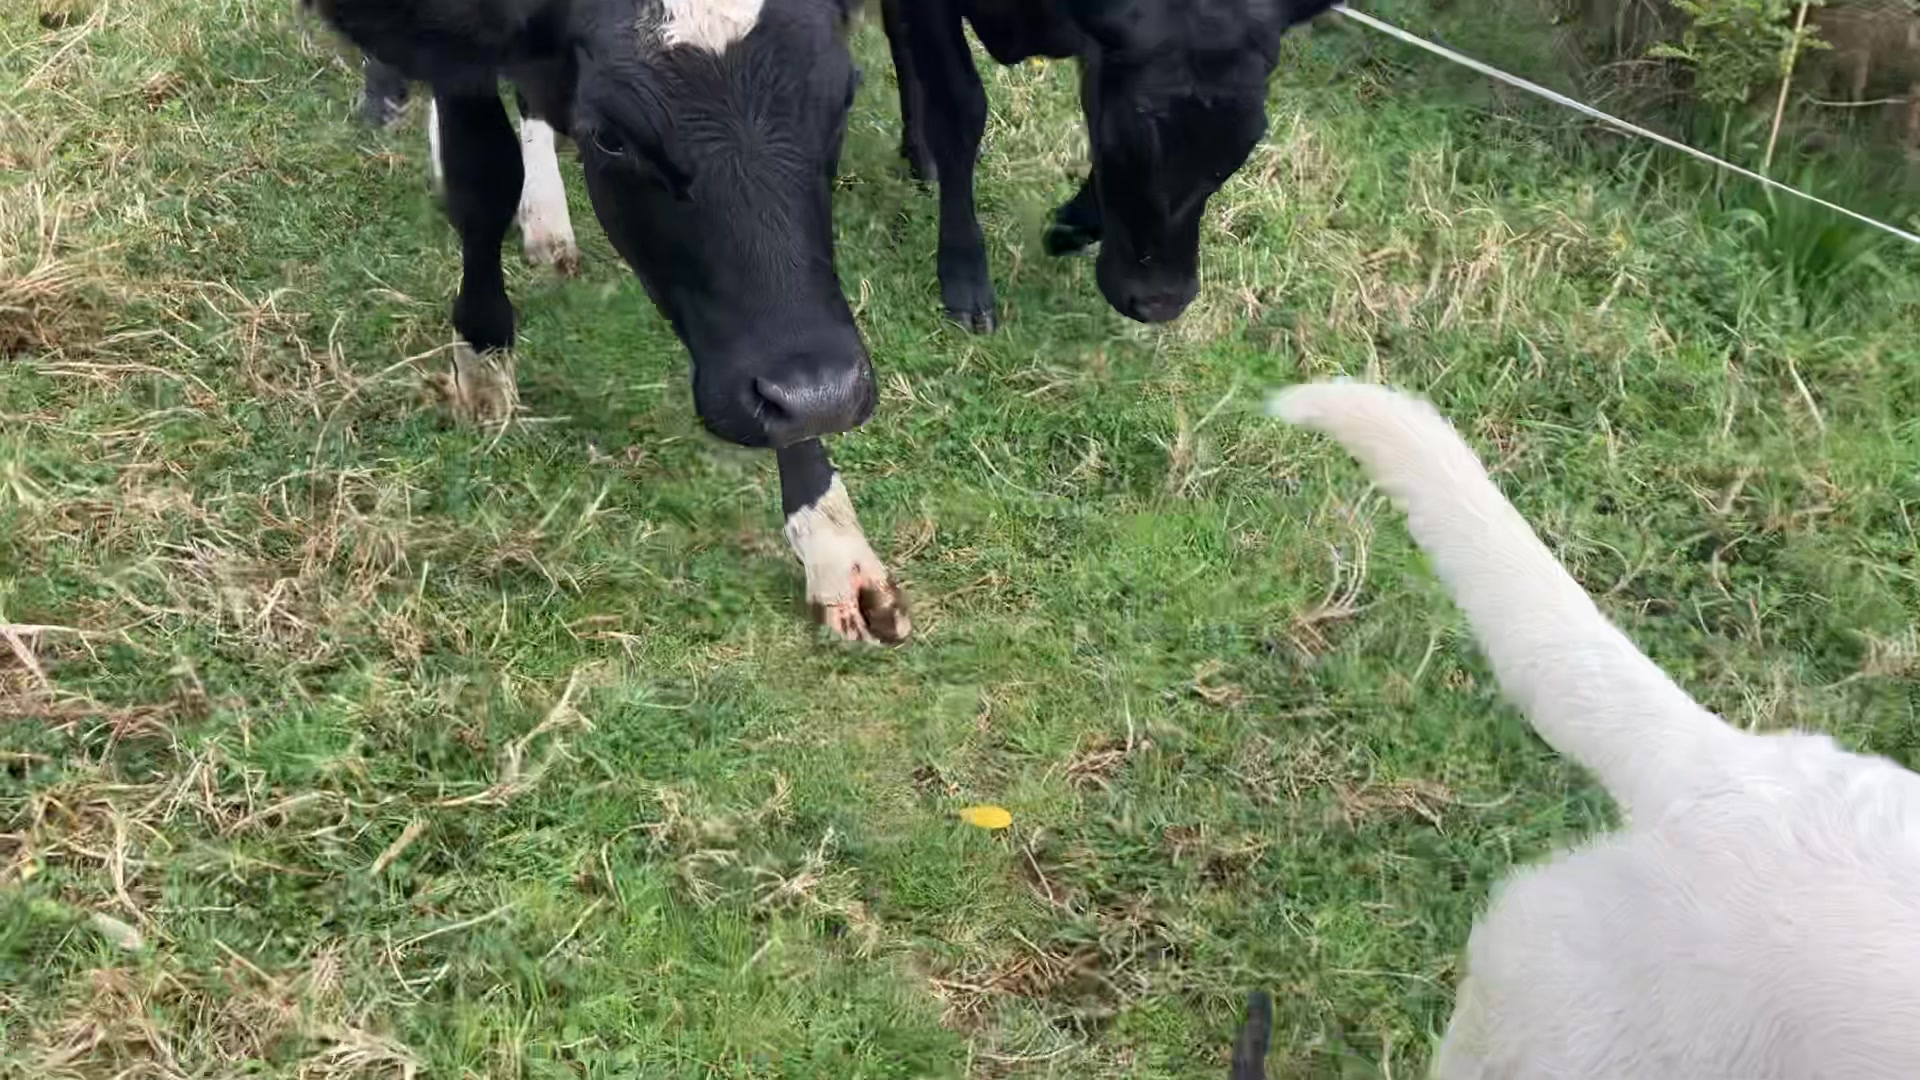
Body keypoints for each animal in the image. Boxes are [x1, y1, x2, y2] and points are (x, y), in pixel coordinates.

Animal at [307, 0, 909, 643]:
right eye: (611, 138)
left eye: (843, 97)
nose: (826, 394)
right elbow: (483, 174)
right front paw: (484, 354)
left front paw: (829, 538)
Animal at [880, 0, 1336, 330]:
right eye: (1132, 133)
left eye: (1246, 142)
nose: (1160, 304)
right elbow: (961, 109)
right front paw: (965, 277)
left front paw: (1070, 227)